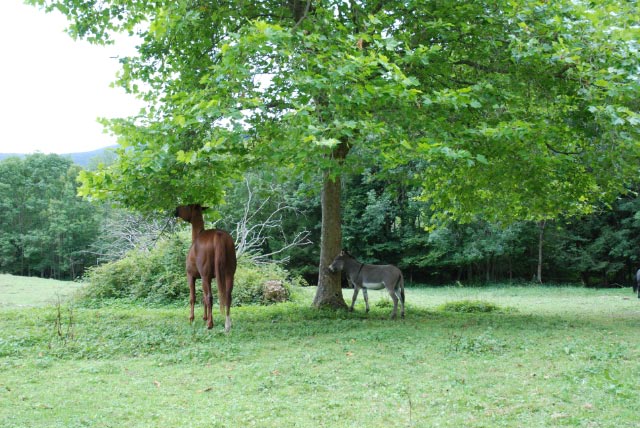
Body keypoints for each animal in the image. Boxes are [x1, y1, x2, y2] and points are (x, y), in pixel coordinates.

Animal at [174, 204, 236, 332]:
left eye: (186, 206)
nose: (176, 210)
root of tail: (218, 235)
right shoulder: (209, 278)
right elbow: (203, 298)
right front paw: (204, 317)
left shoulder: (192, 276)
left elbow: (193, 297)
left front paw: (192, 318)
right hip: (229, 274)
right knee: (228, 296)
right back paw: (227, 325)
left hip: (205, 276)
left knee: (209, 297)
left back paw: (210, 324)